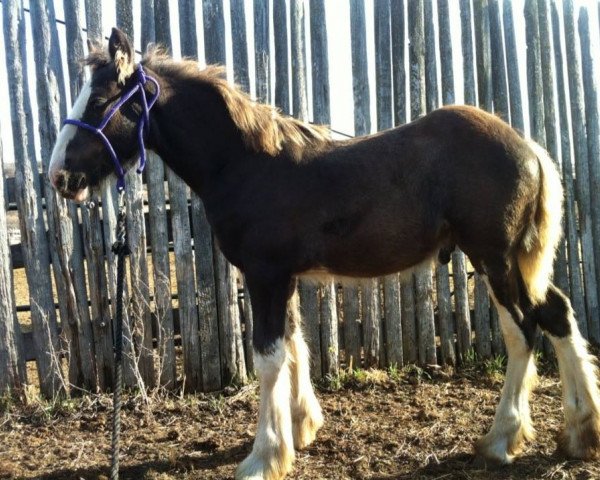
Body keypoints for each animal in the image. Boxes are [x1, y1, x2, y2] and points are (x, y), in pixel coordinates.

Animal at [50, 28, 600, 478]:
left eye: (100, 101)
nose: (59, 177)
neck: (245, 162)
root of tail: (530, 149)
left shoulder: (266, 275)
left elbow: (269, 355)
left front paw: (263, 457)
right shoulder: (284, 277)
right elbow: (295, 345)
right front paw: (301, 428)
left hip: (494, 257)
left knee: (524, 329)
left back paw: (502, 439)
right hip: (512, 261)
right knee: (556, 314)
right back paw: (580, 432)